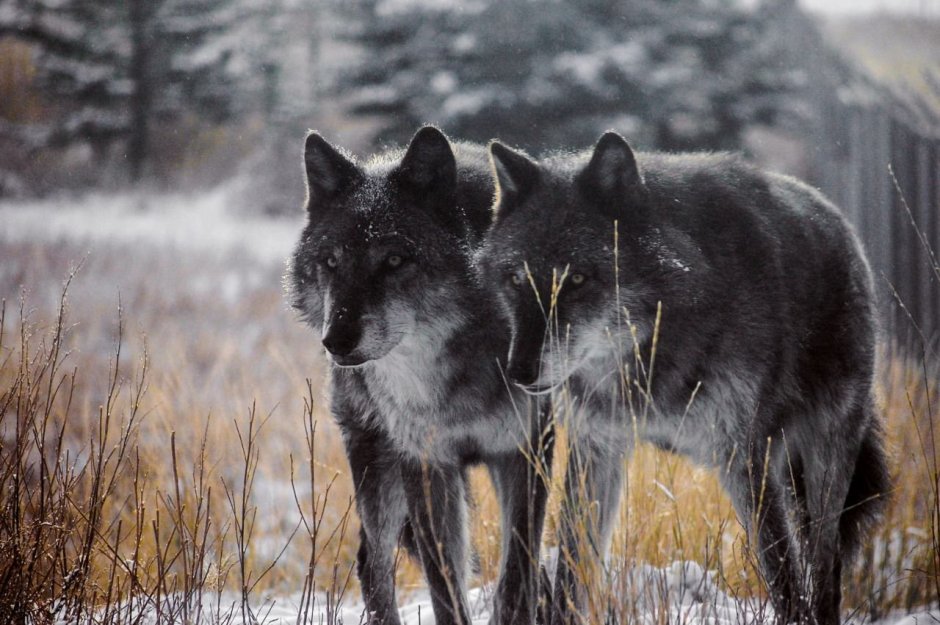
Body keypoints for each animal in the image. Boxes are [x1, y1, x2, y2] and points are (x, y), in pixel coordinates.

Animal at [287, 126, 553, 625]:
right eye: (331, 262)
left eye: (394, 261)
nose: (337, 341)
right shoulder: (425, 462)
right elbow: (445, 586)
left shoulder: (524, 452)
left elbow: (515, 577)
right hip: (377, 464)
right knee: (371, 562)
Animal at [475, 131, 890, 625]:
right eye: (516, 280)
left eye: (576, 280)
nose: (519, 372)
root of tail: (840, 222)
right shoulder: (596, 449)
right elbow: (572, 571)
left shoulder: (742, 458)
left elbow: (784, 578)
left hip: (824, 463)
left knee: (825, 571)